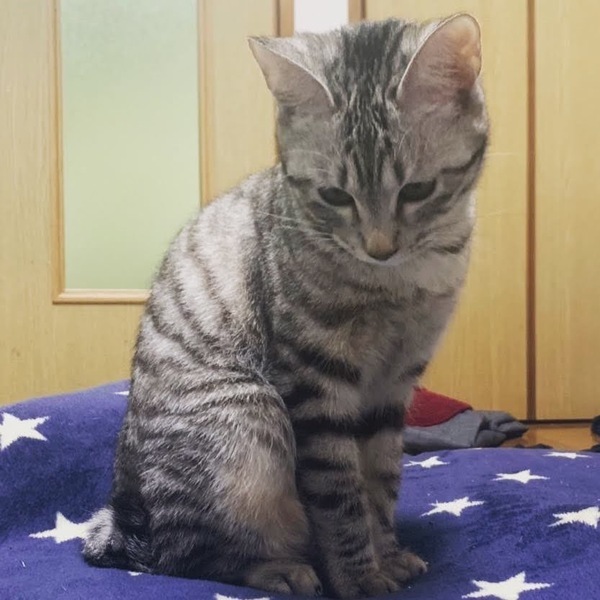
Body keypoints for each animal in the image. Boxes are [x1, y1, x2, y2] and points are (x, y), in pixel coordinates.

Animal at [83, 14, 488, 599]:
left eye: (417, 190)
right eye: (335, 196)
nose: (379, 248)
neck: (399, 283)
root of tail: (126, 518)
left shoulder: (394, 384)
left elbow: (381, 480)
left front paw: (387, 555)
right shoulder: (315, 382)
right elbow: (340, 494)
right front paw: (359, 577)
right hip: (251, 418)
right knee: (187, 556)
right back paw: (281, 569)